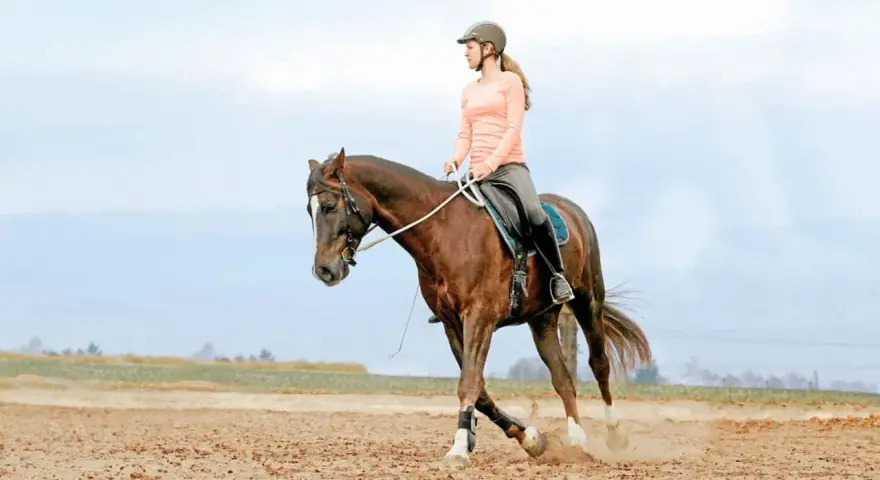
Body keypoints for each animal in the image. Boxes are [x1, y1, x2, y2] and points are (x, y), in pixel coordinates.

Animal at [306, 147, 652, 467]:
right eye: (309, 211)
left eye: (330, 206)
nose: (323, 270)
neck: (443, 231)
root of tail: (572, 209)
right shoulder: (451, 323)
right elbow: (481, 391)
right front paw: (530, 439)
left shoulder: (479, 317)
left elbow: (469, 382)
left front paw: (459, 449)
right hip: (541, 320)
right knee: (563, 378)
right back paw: (576, 440)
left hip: (587, 300)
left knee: (599, 364)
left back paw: (616, 435)